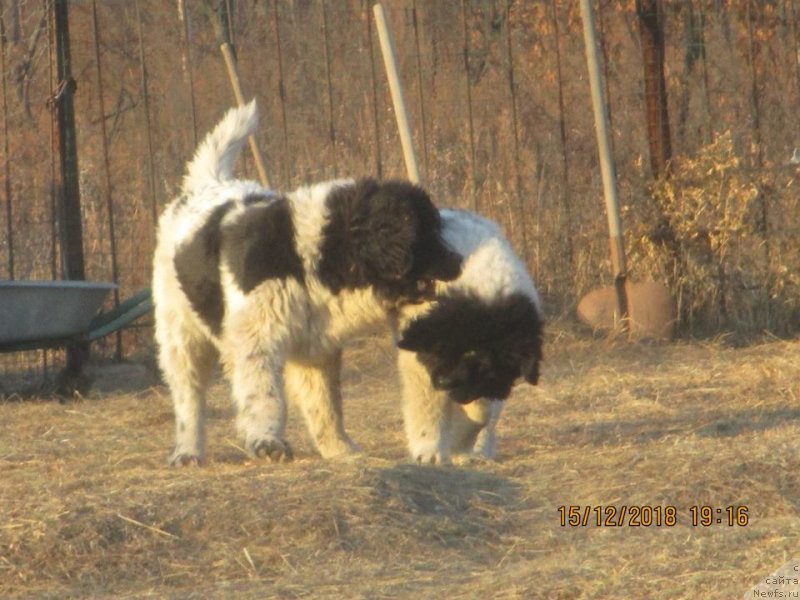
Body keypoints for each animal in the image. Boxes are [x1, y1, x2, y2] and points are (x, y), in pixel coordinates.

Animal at [152, 101, 460, 464]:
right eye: (427, 237)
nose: (459, 261)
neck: (310, 255)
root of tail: (206, 185)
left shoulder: (316, 347)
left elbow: (325, 402)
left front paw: (339, 448)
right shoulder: (257, 338)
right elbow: (266, 395)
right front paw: (268, 442)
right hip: (180, 332)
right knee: (189, 396)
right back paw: (188, 451)